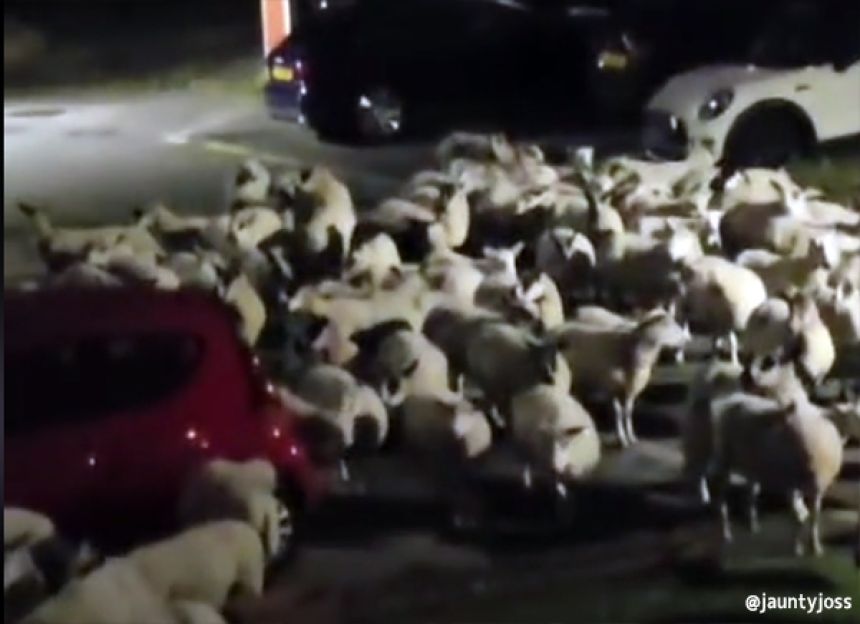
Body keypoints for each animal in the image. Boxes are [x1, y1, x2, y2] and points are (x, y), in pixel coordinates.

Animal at [554, 309, 689, 446]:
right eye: (668, 324)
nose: (685, 340)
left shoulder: (631, 389)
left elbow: (628, 412)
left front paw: (631, 436)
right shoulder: (612, 387)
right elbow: (618, 413)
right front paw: (622, 438)